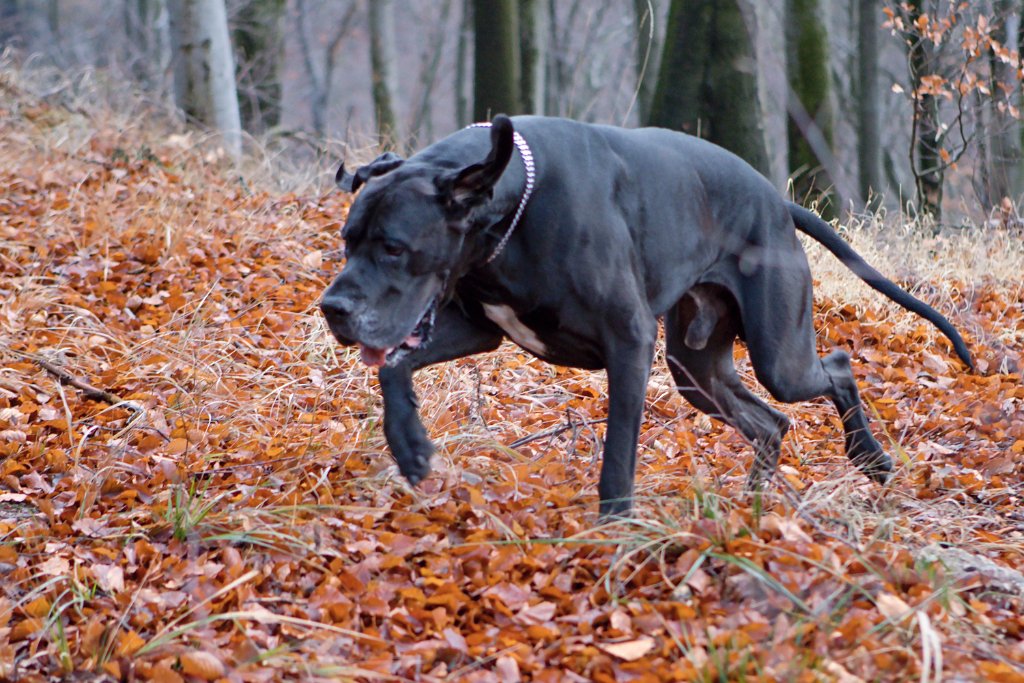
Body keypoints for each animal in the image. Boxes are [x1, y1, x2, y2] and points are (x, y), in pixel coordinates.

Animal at [319, 114, 966, 516]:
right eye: (348, 241)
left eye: (393, 247)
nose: (332, 308)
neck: (510, 204)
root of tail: (778, 201)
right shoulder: (477, 328)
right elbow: (392, 368)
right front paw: (409, 446)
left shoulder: (628, 343)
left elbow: (618, 459)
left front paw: (614, 533)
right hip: (696, 370)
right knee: (770, 423)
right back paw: (752, 504)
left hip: (777, 354)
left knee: (835, 368)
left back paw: (871, 459)